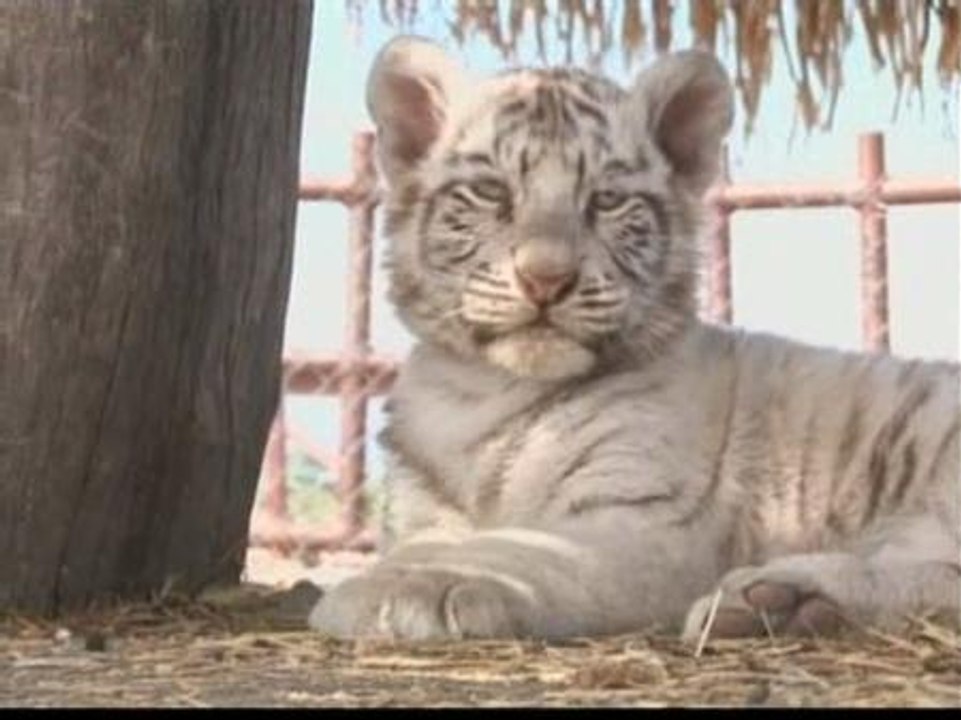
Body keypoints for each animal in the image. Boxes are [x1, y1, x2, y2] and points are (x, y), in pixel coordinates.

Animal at [308, 35, 961, 642]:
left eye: (607, 200)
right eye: (493, 192)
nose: (546, 277)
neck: (485, 391)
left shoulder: (642, 521)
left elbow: (516, 547)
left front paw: (399, 589)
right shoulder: (425, 516)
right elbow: (437, 541)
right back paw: (782, 605)